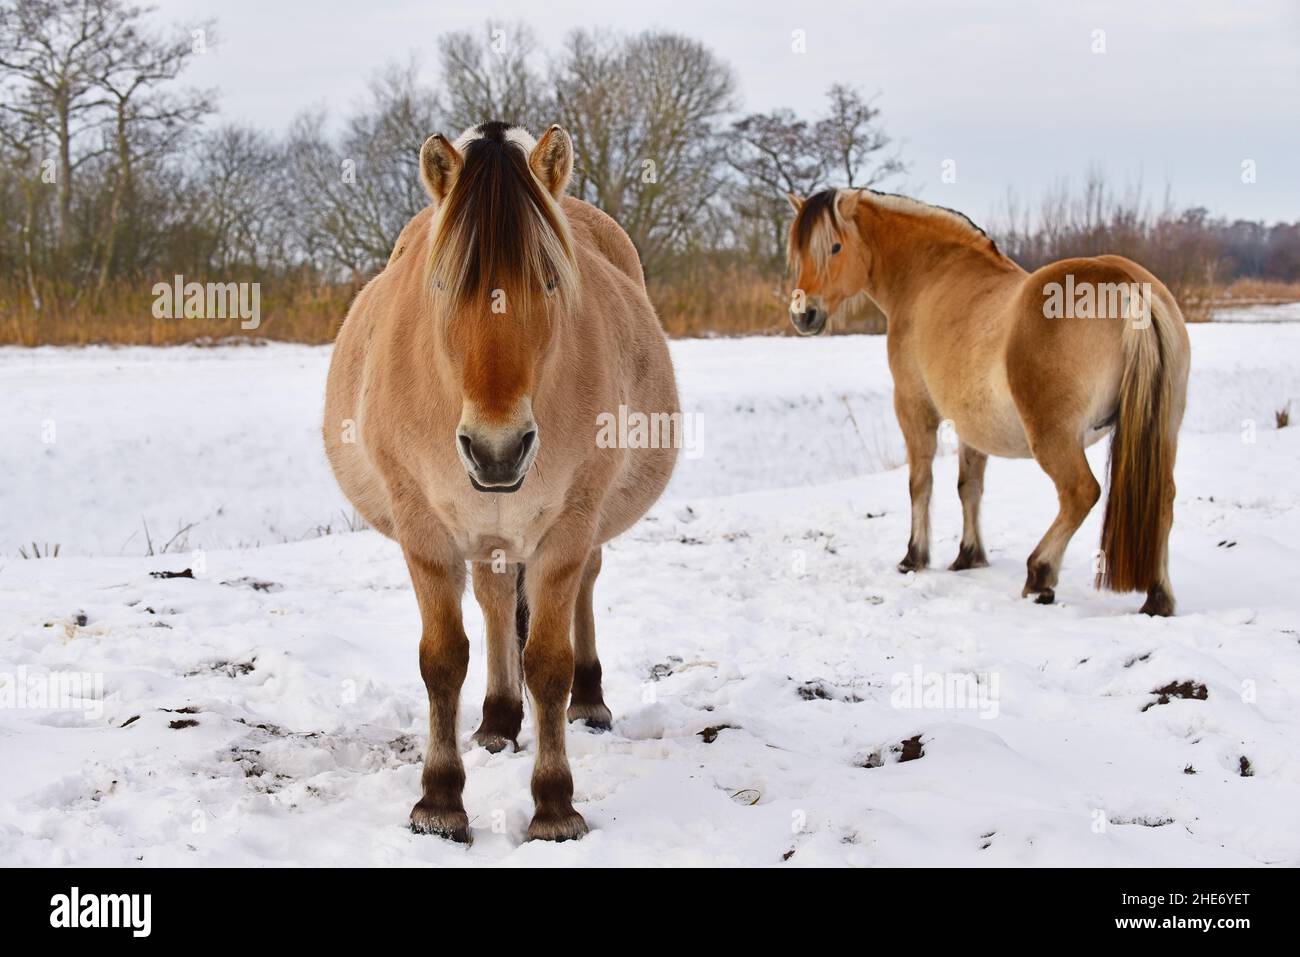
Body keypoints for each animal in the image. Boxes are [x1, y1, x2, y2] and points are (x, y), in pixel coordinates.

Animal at [325, 121, 681, 842]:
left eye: (548, 280)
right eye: (442, 281)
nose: (497, 450)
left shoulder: (567, 526)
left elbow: (548, 662)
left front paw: (553, 805)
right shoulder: (423, 529)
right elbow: (442, 658)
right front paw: (439, 800)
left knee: (582, 593)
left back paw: (589, 700)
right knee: (492, 601)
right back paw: (495, 718)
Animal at [780, 191, 1190, 616]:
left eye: (835, 247)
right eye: (799, 253)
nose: (803, 314)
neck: (931, 276)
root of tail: (1126, 287)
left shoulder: (914, 408)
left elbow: (920, 482)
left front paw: (914, 557)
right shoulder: (971, 425)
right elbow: (969, 486)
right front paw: (969, 555)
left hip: (1055, 439)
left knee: (1080, 493)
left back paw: (1040, 574)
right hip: (1163, 432)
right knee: (1163, 499)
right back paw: (1157, 597)